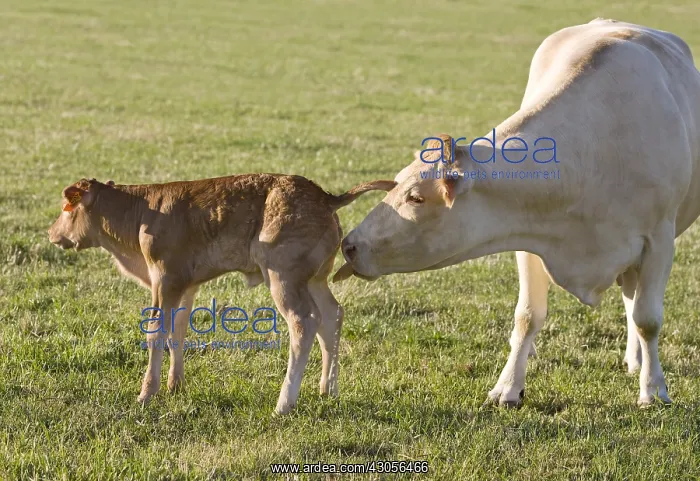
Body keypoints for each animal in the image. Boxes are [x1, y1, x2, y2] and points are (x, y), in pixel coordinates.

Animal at [48, 174, 395, 414]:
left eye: (67, 207)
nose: (51, 233)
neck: (141, 215)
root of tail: (322, 196)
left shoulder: (164, 279)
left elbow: (156, 332)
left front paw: (147, 393)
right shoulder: (185, 285)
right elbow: (177, 330)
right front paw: (175, 384)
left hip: (284, 276)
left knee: (305, 321)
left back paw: (284, 403)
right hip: (315, 279)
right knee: (331, 317)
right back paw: (328, 390)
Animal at [336, 19, 700, 407]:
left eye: (416, 197)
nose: (349, 244)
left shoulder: (659, 241)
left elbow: (647, 319)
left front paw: (654, 389)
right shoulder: (530, 239)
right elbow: (527, 316)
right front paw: (509, 386)